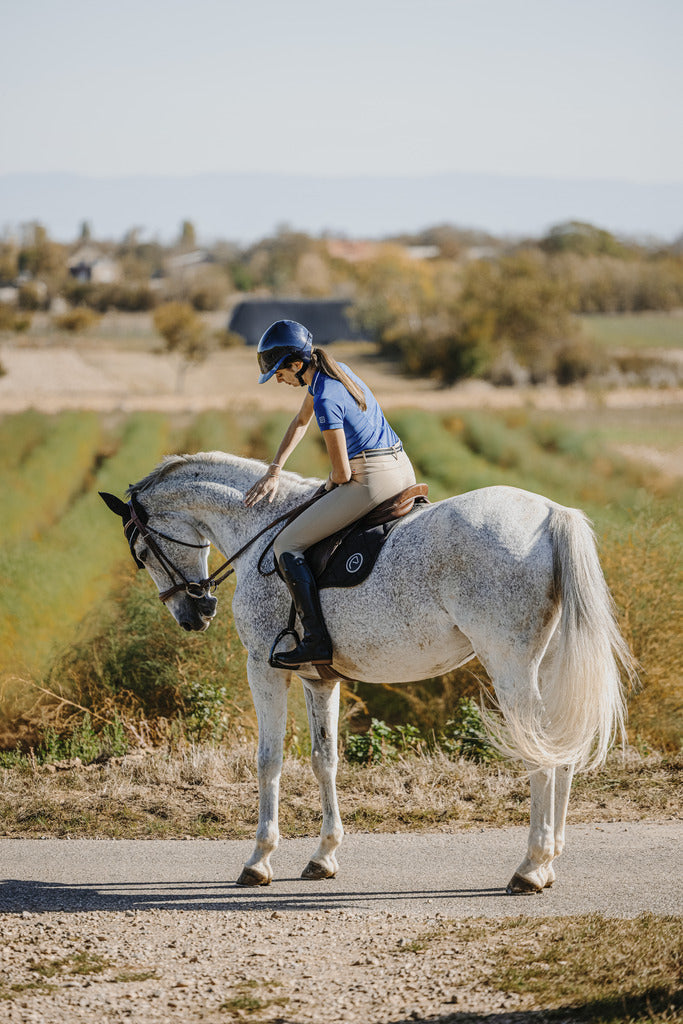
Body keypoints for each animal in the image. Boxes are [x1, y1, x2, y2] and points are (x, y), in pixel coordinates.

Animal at [101, 456, 634, 897]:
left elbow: (268, 761)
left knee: (538, 756)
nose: (195, 614)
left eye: (142, 553)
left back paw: (529, 869)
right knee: (560, 750)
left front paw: (258, 860)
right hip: (549, 665)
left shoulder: (262, 669)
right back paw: (549, 864)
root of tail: (550, 514)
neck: (261, 529)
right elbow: (325, 760)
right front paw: (323, 857)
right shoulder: (320, 679)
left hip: (511, 667)